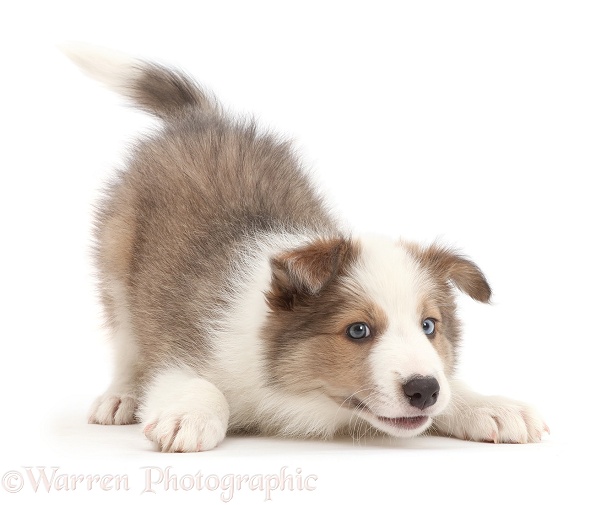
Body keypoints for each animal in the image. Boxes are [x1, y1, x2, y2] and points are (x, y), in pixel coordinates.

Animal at [64, 45, 548, 450]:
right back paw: (119, 398)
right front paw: (190, 416)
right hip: (115, 264)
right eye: (358, 331)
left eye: (429, 326)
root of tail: (201, 119)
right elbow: (191, 382)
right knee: (125, 343)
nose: (424, 389)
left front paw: (490, 406)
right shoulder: (182, 348)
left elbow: (452, 382)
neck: (292, 395)